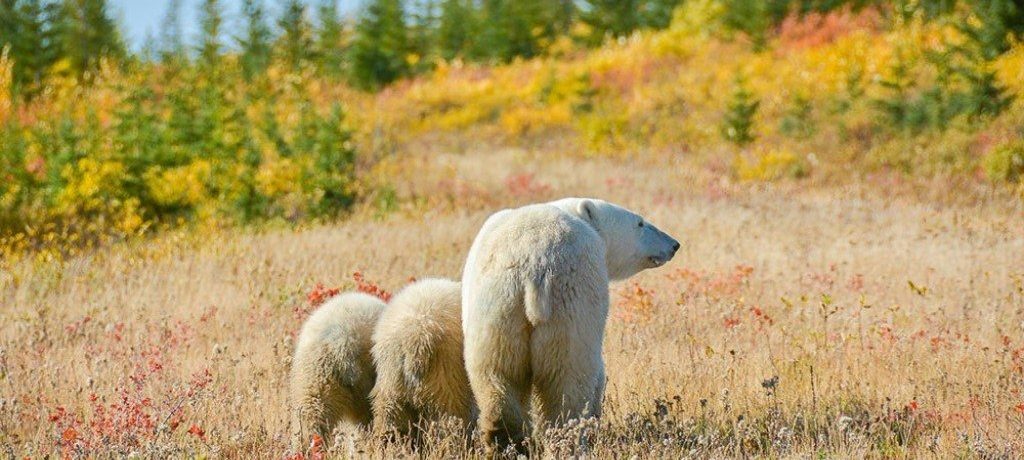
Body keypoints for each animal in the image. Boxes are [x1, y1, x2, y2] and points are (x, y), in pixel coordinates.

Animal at [461, 197, 680, 452]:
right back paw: (569, 440)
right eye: (640, 223)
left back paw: (506, 442)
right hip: (568, 302)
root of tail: (533, 266)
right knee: (568, 381)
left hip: (497, 311)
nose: (674, 244)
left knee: (498, 376)